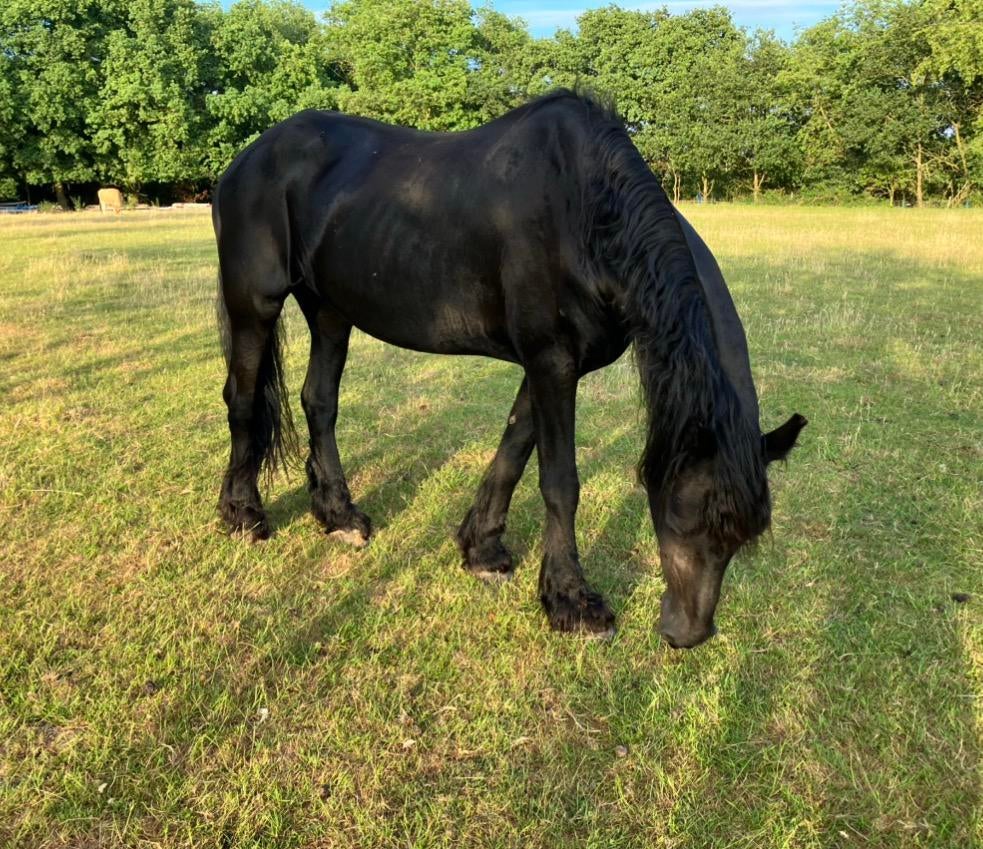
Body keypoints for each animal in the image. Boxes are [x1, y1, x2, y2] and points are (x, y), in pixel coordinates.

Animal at [212, 90, 806, 649]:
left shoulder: (553, 364)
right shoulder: (551, 360)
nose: (687, 633)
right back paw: (243, 514)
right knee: (241, 399)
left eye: (744, 537)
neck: (585, 210)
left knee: (319, 401)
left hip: (331, 312)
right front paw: (572, 601)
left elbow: (515, 449)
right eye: (684, 515)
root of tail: (248, 158)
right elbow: (560, 480)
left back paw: (338, 516)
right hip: (255, 303)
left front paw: (482, 548)